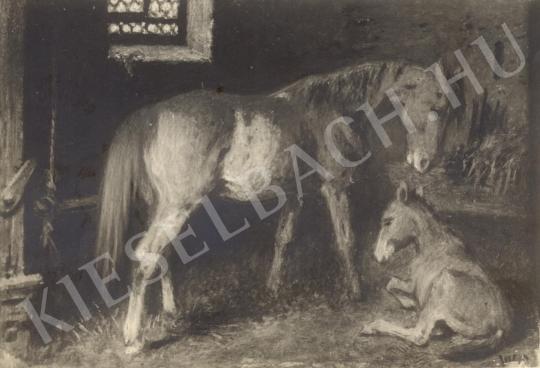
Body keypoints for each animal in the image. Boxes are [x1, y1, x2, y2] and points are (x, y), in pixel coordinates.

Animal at [362, 183, 510, 358]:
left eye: (388, 221)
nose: (378, 256)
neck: (435, 247)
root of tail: (500, 327)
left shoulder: (415, 285)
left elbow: (391, 283)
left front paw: (408, 303)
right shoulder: (412, 284)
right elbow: (391, 283)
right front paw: (408, 303)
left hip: (440, 286)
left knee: (419, 335)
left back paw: (373, 326)